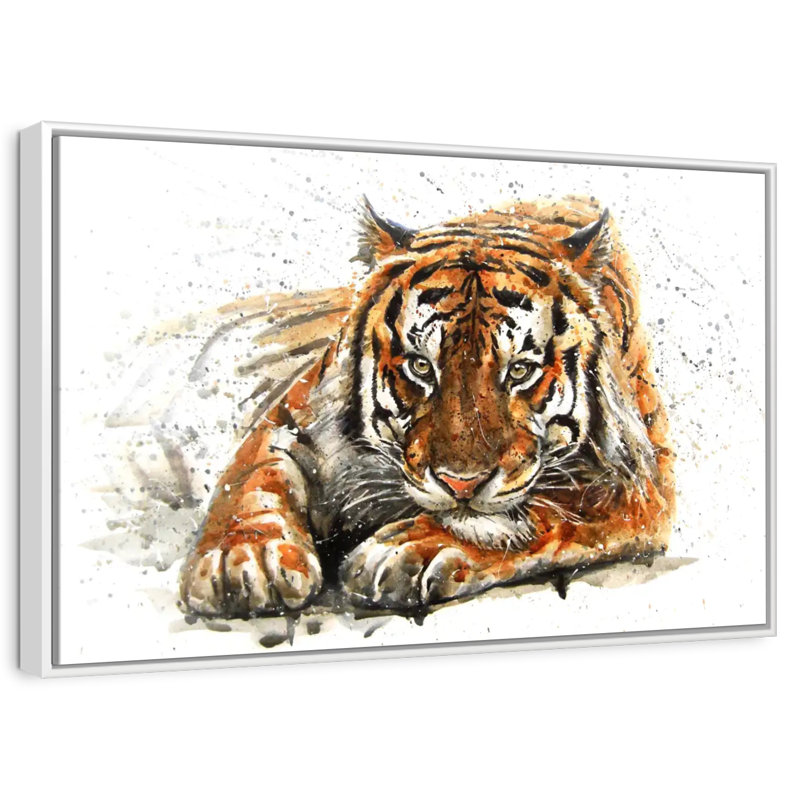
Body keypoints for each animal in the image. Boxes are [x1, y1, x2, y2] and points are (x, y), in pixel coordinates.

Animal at [179, 194, 674, 616]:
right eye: (421, 366)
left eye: (519, 371)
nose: (461, 484)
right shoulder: (294, 413)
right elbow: (251, 476)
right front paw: (244, 557)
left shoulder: (639, 481)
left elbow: (547, 510)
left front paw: (409, 550)